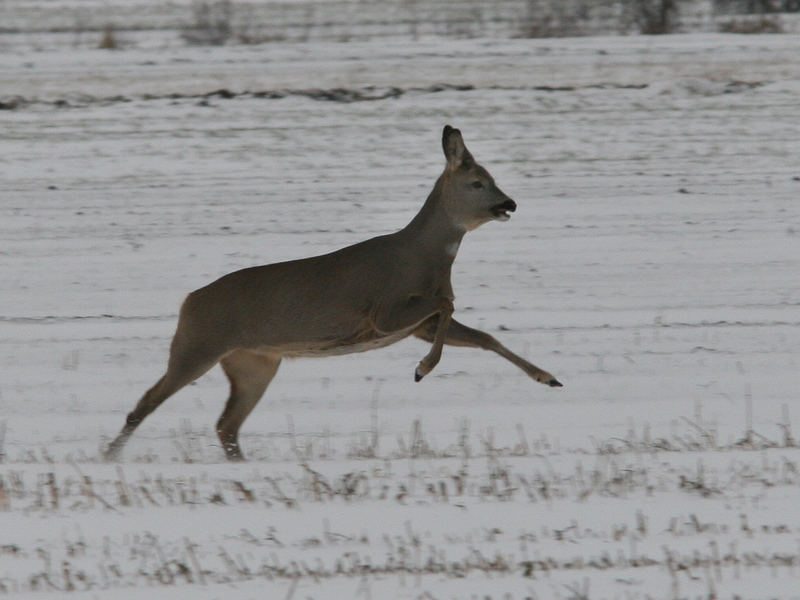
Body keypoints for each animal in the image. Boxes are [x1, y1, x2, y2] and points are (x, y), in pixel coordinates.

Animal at [103, 125, 560, 464]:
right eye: (477, 182)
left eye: (493, 178)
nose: (510, 203)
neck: (424, 258)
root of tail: (187, 302)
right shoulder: (385, 310)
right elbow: (448, 304)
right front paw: (422, 369)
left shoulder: (417, 325)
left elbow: (484, 336)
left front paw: (548, 377)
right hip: (197, 344)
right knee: (147, 402)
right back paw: (109, 456)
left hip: (254, 362)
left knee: (226, 424)